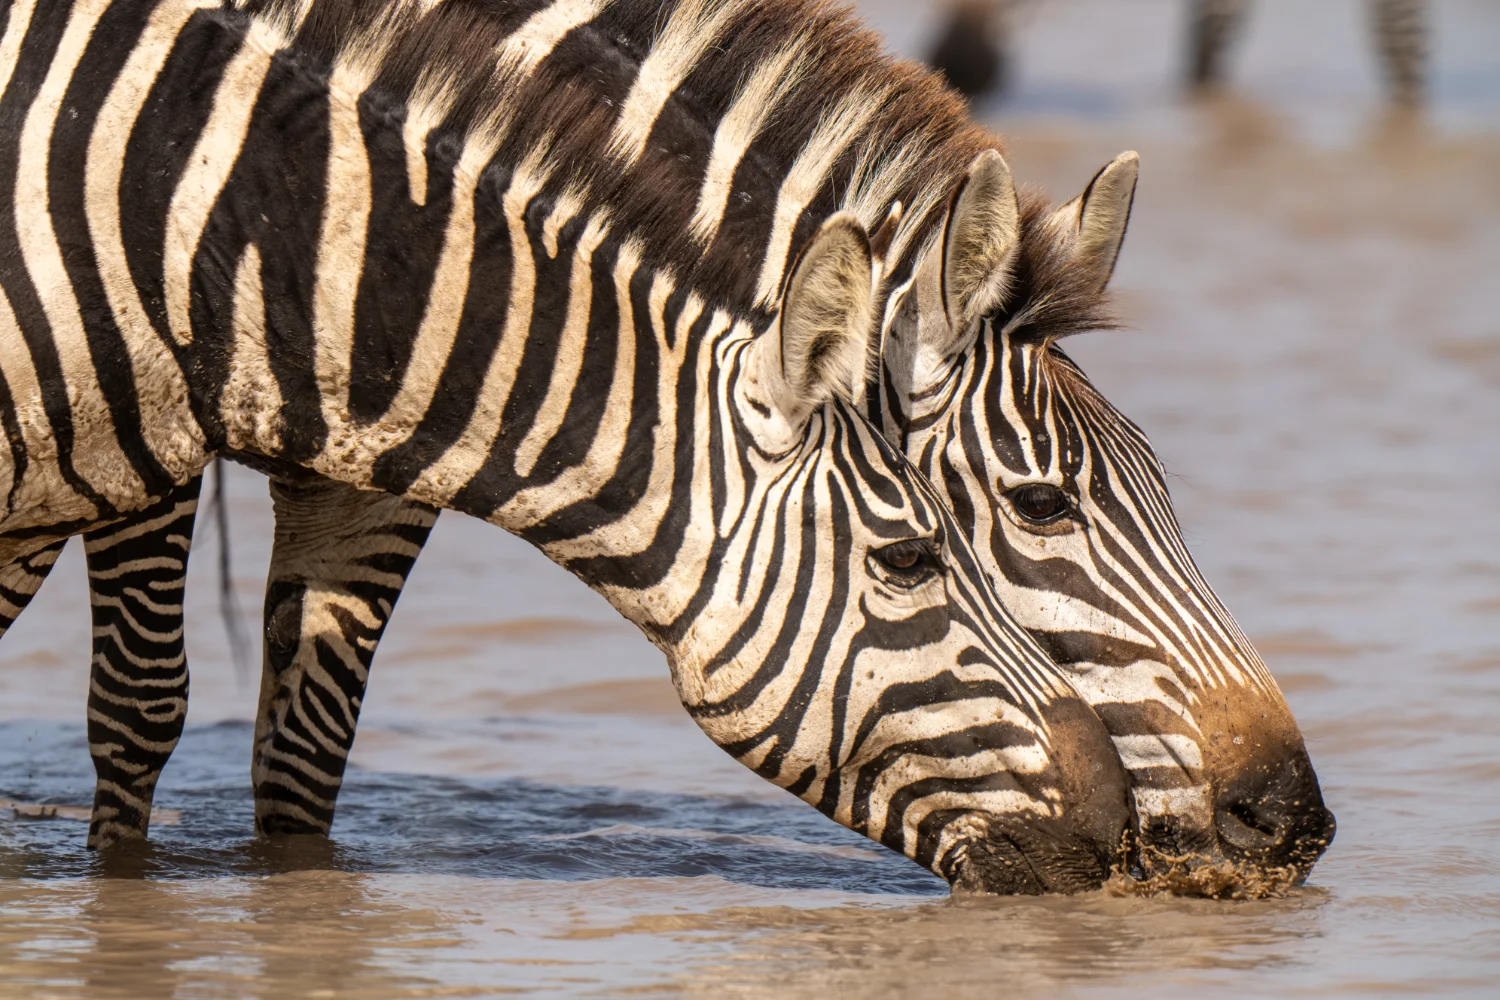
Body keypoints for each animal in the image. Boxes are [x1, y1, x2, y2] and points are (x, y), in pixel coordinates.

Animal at [2, 0, 1333, 885]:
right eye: (1041, 503)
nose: (1295, 823)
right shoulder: (132, 446)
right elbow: (141, 702)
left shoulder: (370, 471)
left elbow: (305, 745)